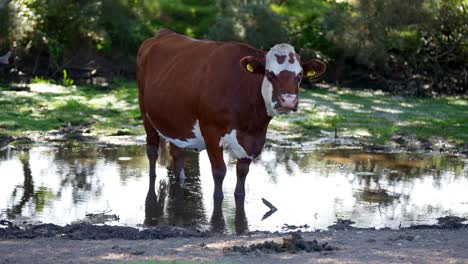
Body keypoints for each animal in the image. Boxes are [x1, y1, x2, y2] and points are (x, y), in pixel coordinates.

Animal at [135, 29, 326, 198]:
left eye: (299, 75)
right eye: (269, 73)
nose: (288, 100)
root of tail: (162, 33)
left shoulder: (254, 140)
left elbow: (242, 173)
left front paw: (239, 195)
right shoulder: (211, 131)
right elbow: (219, 172)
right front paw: (218, 199)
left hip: (177, 122)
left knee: (177, 152)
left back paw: (181, 181)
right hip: (145, 112)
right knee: (152, 150)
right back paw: (153, 176)